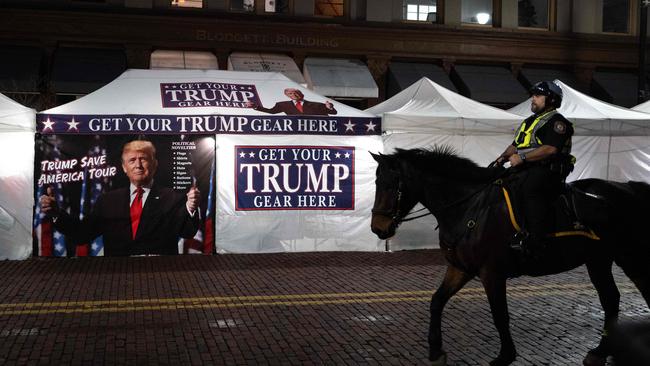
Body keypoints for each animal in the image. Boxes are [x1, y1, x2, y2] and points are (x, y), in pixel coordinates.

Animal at [370, 147, 648, 364]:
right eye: (376, 183)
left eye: (390, 185)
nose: (378, 228)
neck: (470, 207)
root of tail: (631, 188)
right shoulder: (460, 268)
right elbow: (437, 301)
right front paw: (436, 350)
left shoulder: (492, 273)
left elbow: (500, 315)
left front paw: (505, 355)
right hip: (599, 261)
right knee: (611, 299)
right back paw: (600, 351)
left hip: (630, 257)